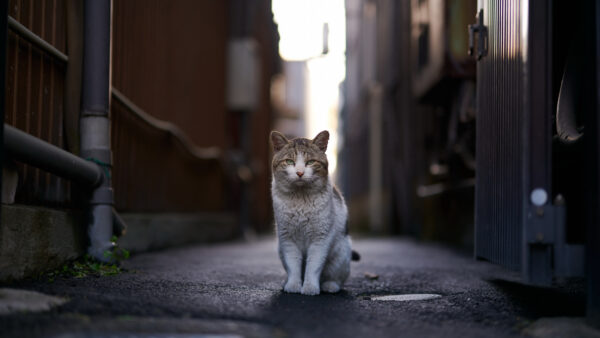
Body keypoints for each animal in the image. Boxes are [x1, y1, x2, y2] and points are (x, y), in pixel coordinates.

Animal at [270, 131, 358, 294]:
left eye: (310, 162)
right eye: (289, 161)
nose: (299, 172)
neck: (300, 199)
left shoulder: (320, 238)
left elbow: (313, 266)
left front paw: (310, 288)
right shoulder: (287, 239)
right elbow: (293, 265)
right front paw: (293, 285)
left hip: (341, 254)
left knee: (336, 277)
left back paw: (330, 286)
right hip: (280, 250)